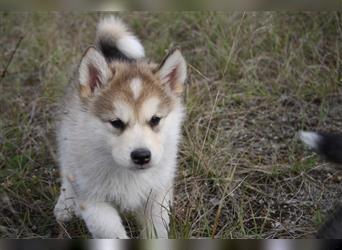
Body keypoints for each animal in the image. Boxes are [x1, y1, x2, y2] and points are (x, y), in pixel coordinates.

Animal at [53, 15, 187, 238]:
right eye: (116, 122)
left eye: (155, 120)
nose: (142, 156)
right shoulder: (94, 201)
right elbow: (112, 232)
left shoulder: (156, 195)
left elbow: (157, 230)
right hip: (68, 137)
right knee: (67, 168)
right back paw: (64, 205)